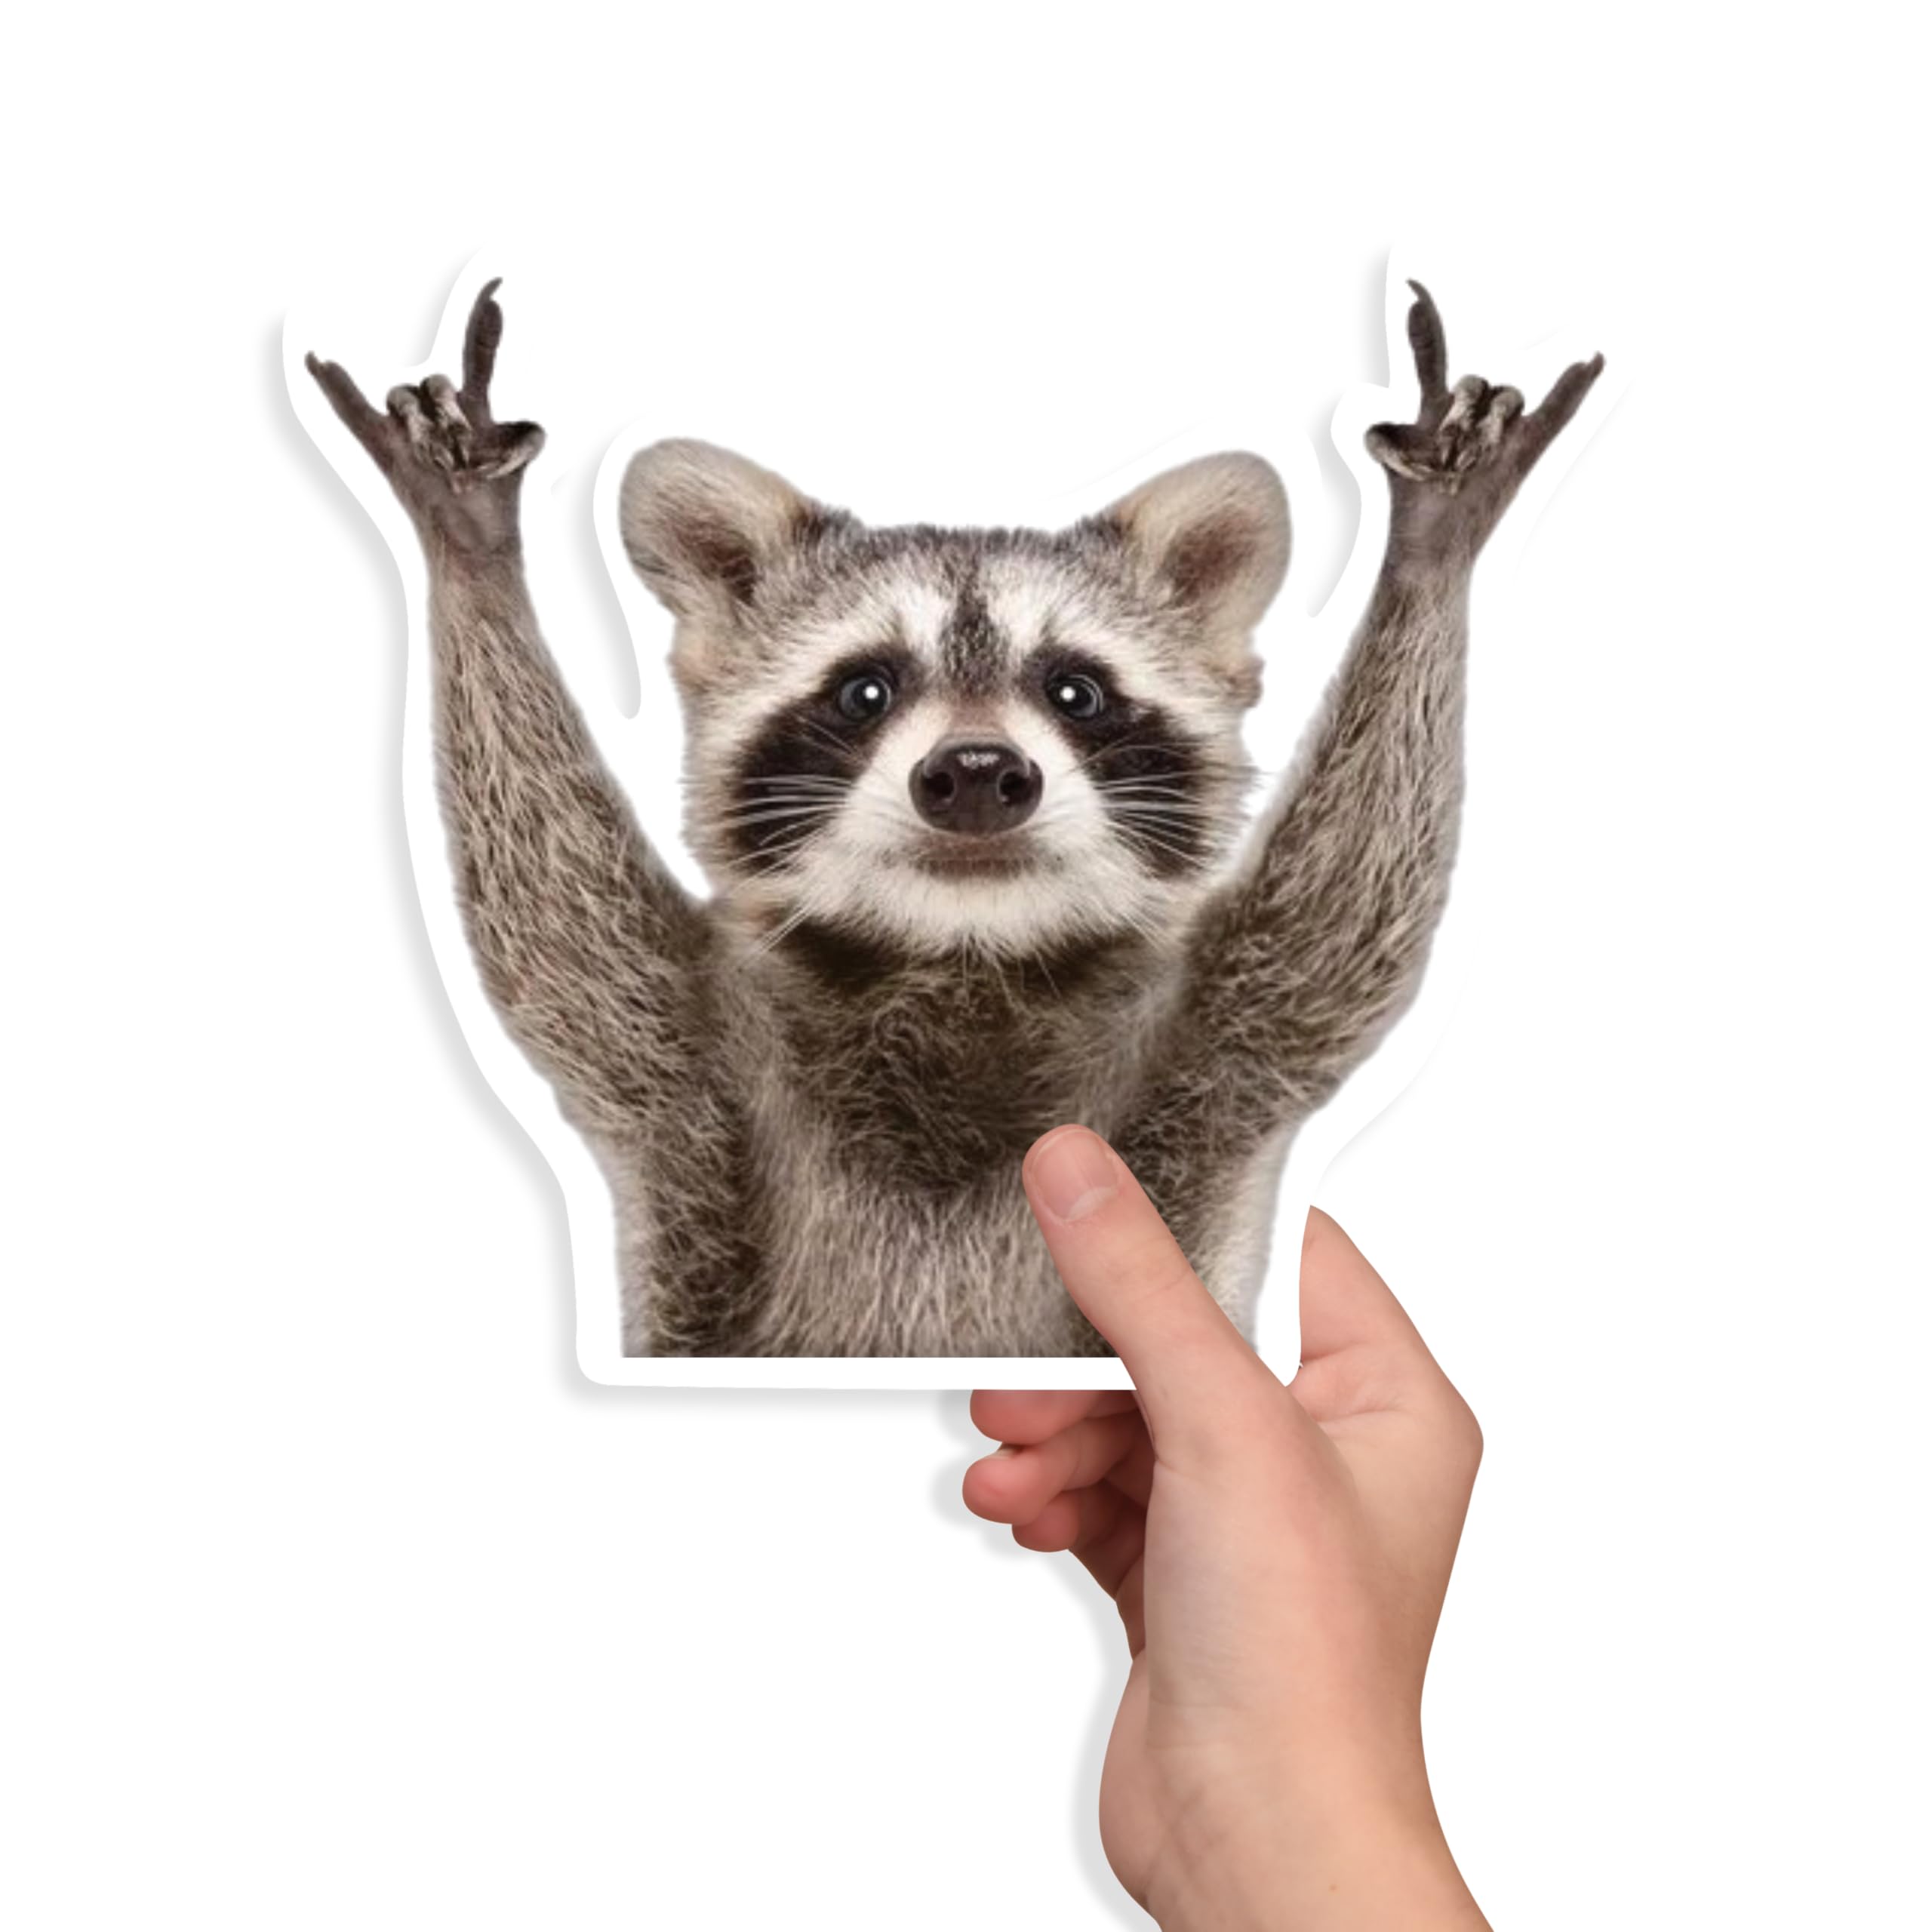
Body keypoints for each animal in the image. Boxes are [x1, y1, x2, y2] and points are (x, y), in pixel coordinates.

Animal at [306, 280, 1601, 1356]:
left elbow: (1345, 922)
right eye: (865, 690)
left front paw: (1430, 549)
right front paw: (471, 551)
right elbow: (557, 924)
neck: (962, 955)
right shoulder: (688, 1073)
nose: (977, 772)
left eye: (1074, 691)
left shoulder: (1219, 1050)